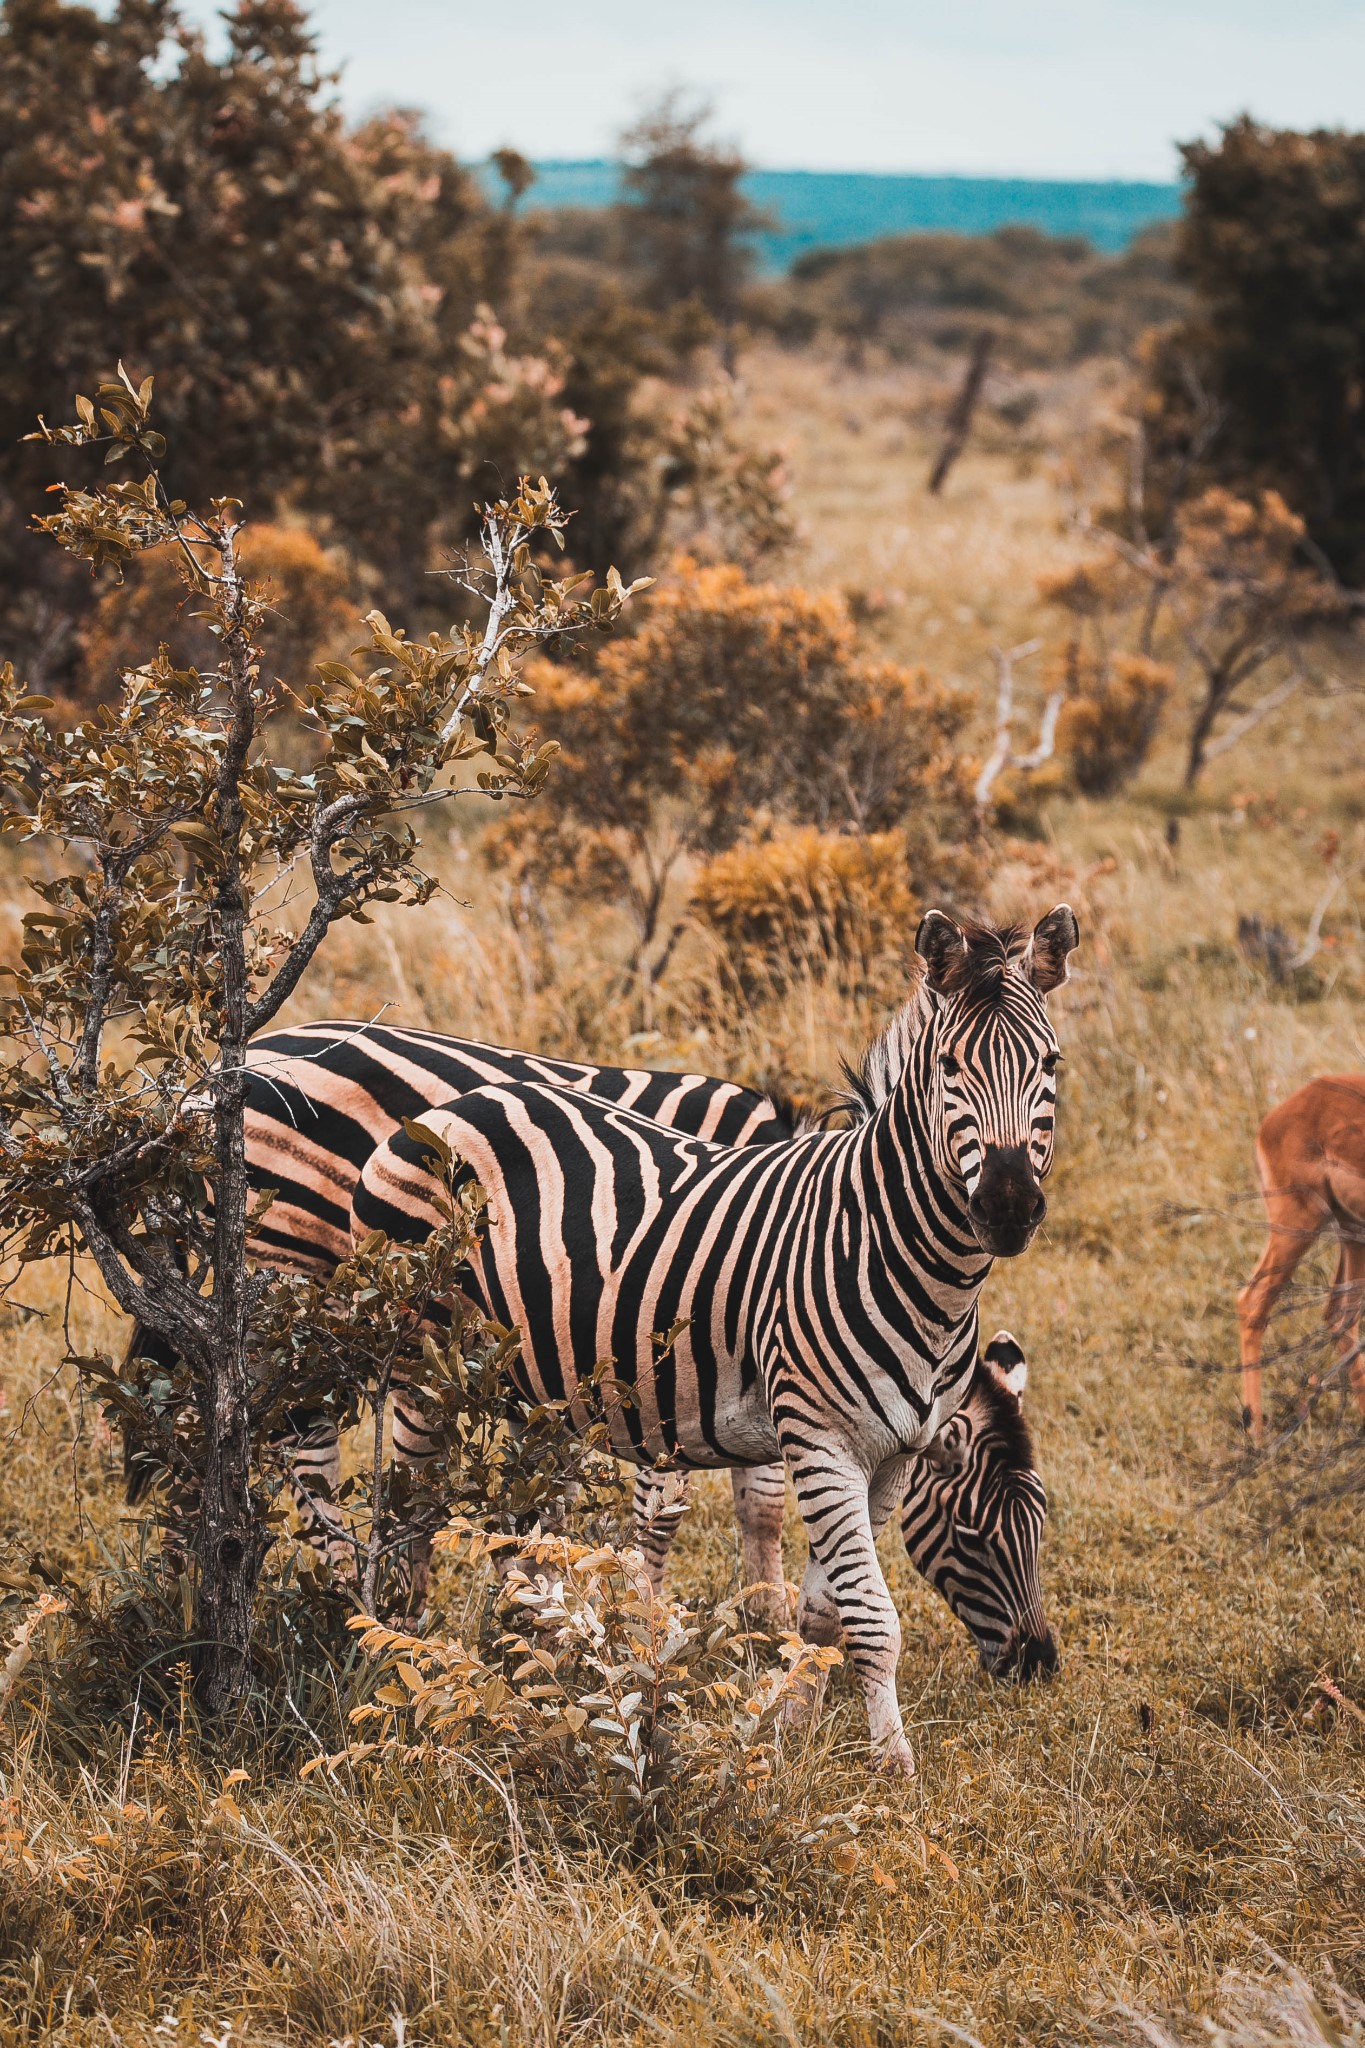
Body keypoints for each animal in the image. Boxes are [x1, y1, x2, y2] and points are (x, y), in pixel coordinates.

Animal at [351, 905, 1080, 1769]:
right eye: (946, 1068)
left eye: (1050, 1064)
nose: (1006, 1206)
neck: (896, 1257)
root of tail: (446, 1109)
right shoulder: (818, 1438)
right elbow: (870, 1616)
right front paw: (891, 1764)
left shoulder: (893, 1458)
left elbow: (825, 1609)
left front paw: (794, 1730)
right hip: (420, 1361)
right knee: (412, 1506)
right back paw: (405, 1649)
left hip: (524, 1379)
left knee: (518, 1514)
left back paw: (531, 1642)